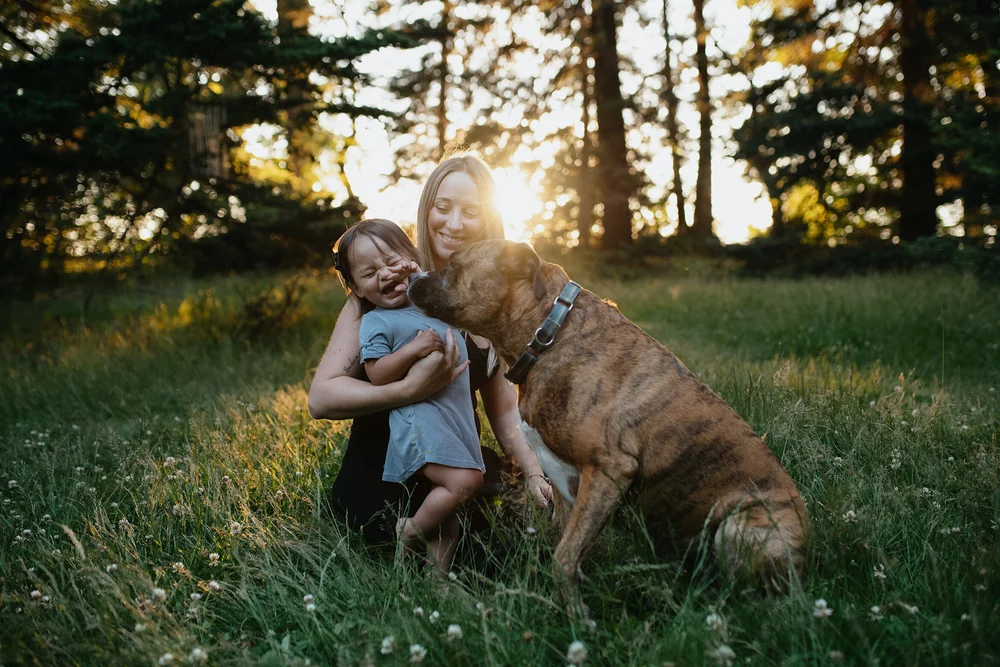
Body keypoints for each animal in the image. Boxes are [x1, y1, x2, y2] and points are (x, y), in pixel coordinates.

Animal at [408, 240, 810, 595]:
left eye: (454, 265)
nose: (412, 277)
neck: (548, 332)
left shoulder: (609, 469)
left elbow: (564, 558)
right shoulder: (565, 486)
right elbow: (562, 542)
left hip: (743, 525)